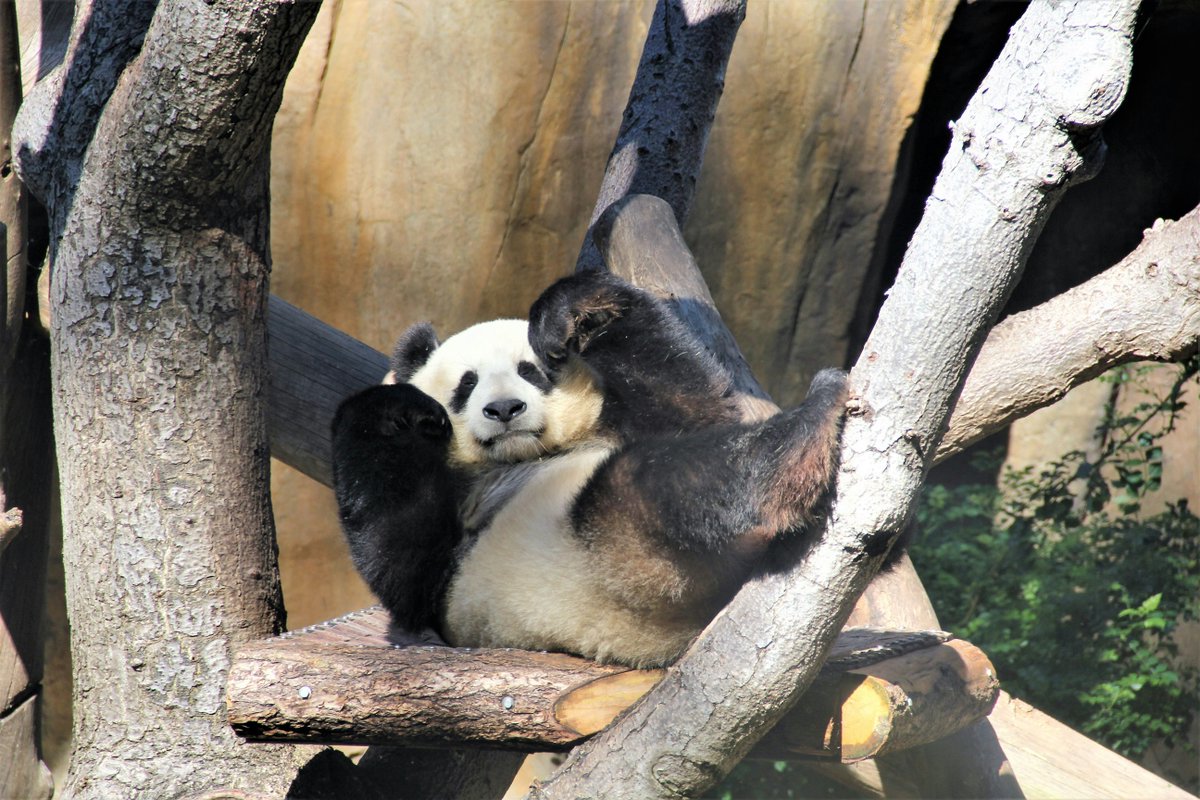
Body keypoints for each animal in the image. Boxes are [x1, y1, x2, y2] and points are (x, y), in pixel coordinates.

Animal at [331, 271, 848, 668]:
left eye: (532, 371)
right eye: (467, 384)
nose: (505, 409)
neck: (529, 455)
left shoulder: (620, 419)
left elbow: (695, 409)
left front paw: (571, 315)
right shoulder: (453, 555)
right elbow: (408, 571)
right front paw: (401, 411)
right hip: (622, 564)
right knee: (659, 482)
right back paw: (809, 426)